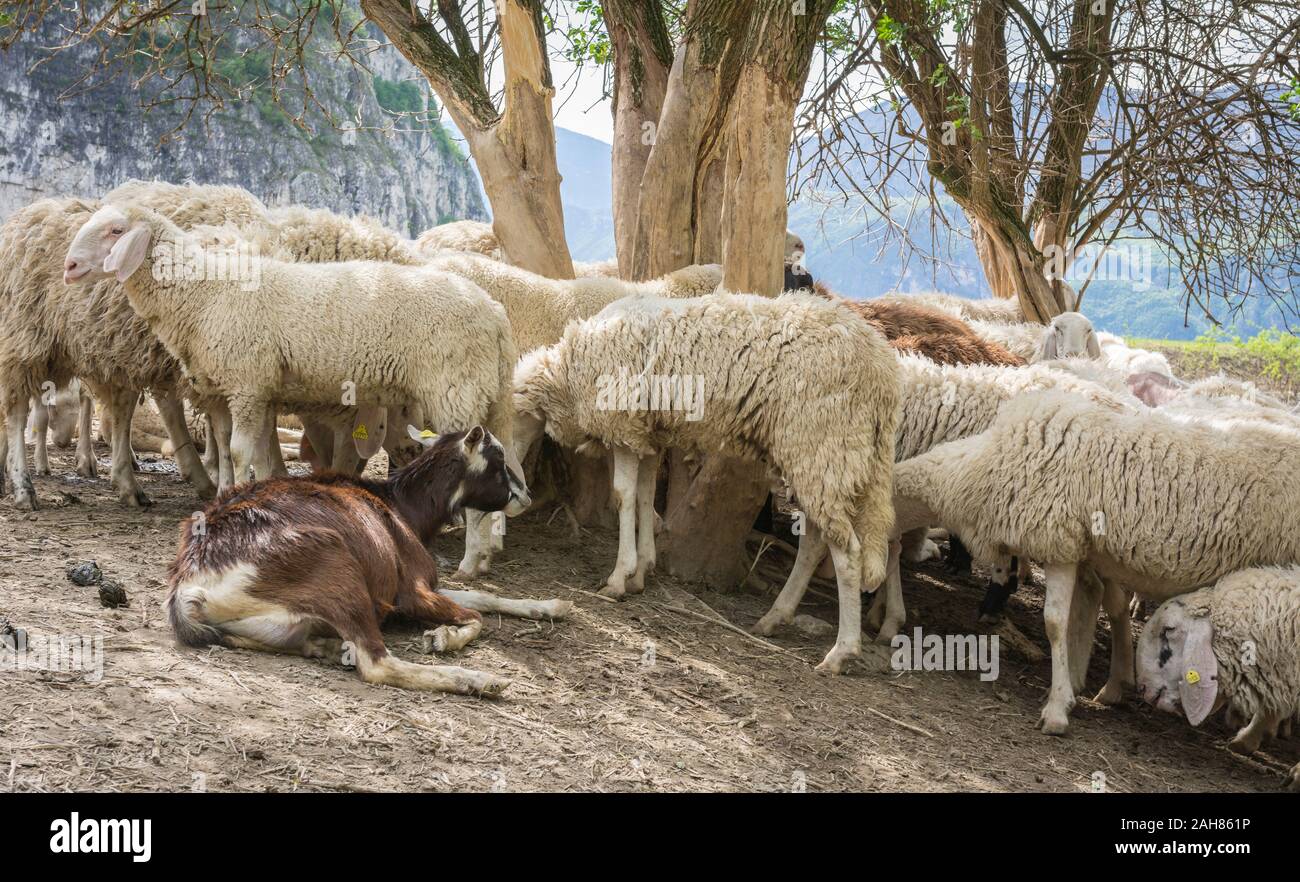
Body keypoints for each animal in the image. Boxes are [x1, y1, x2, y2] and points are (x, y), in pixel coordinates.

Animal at [64, 201, 529, 578]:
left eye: (116, 231)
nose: (68, 267)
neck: (206, 292)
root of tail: (496, 316)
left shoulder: (248, 382)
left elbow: (239, 452)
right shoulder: (233, 389)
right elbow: (233, 449)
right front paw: (230, 498)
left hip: (455, 390)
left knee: (472, 462)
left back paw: (470, 562)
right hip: (489, 393)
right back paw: (486, 553)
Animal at [511, 291, 901, 673]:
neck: (569, 373)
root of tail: (883, 370)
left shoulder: (623, 428)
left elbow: (623, 496)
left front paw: (619, 578)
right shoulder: (648, 433)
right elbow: (644, 497)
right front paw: (642, 570)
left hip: (823, 444)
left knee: (847, 553)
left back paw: (840, 652)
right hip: (817, 456)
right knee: (815, 541)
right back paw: (775, 617)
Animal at [889, 389, 1300, 734]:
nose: (885, 624)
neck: (977, 469)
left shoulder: (1058, 543)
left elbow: (1056, 622)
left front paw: (1057, 709)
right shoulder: (1082, 551)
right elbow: (1086, 610)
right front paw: (1075, 685)